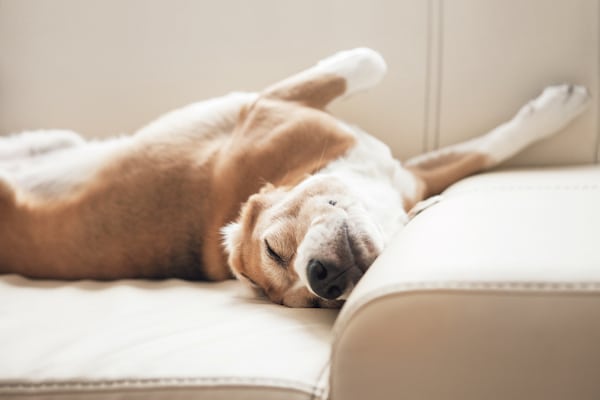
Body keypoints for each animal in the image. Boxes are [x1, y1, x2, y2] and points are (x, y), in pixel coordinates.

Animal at [0, 48, 592, 308]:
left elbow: (482, 152)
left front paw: (555, 110)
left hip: (45, 139)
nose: (322, 278)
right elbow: (366, 63)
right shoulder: (269, 105)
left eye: (274, 248)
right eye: (312, 302)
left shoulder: (405, 175)